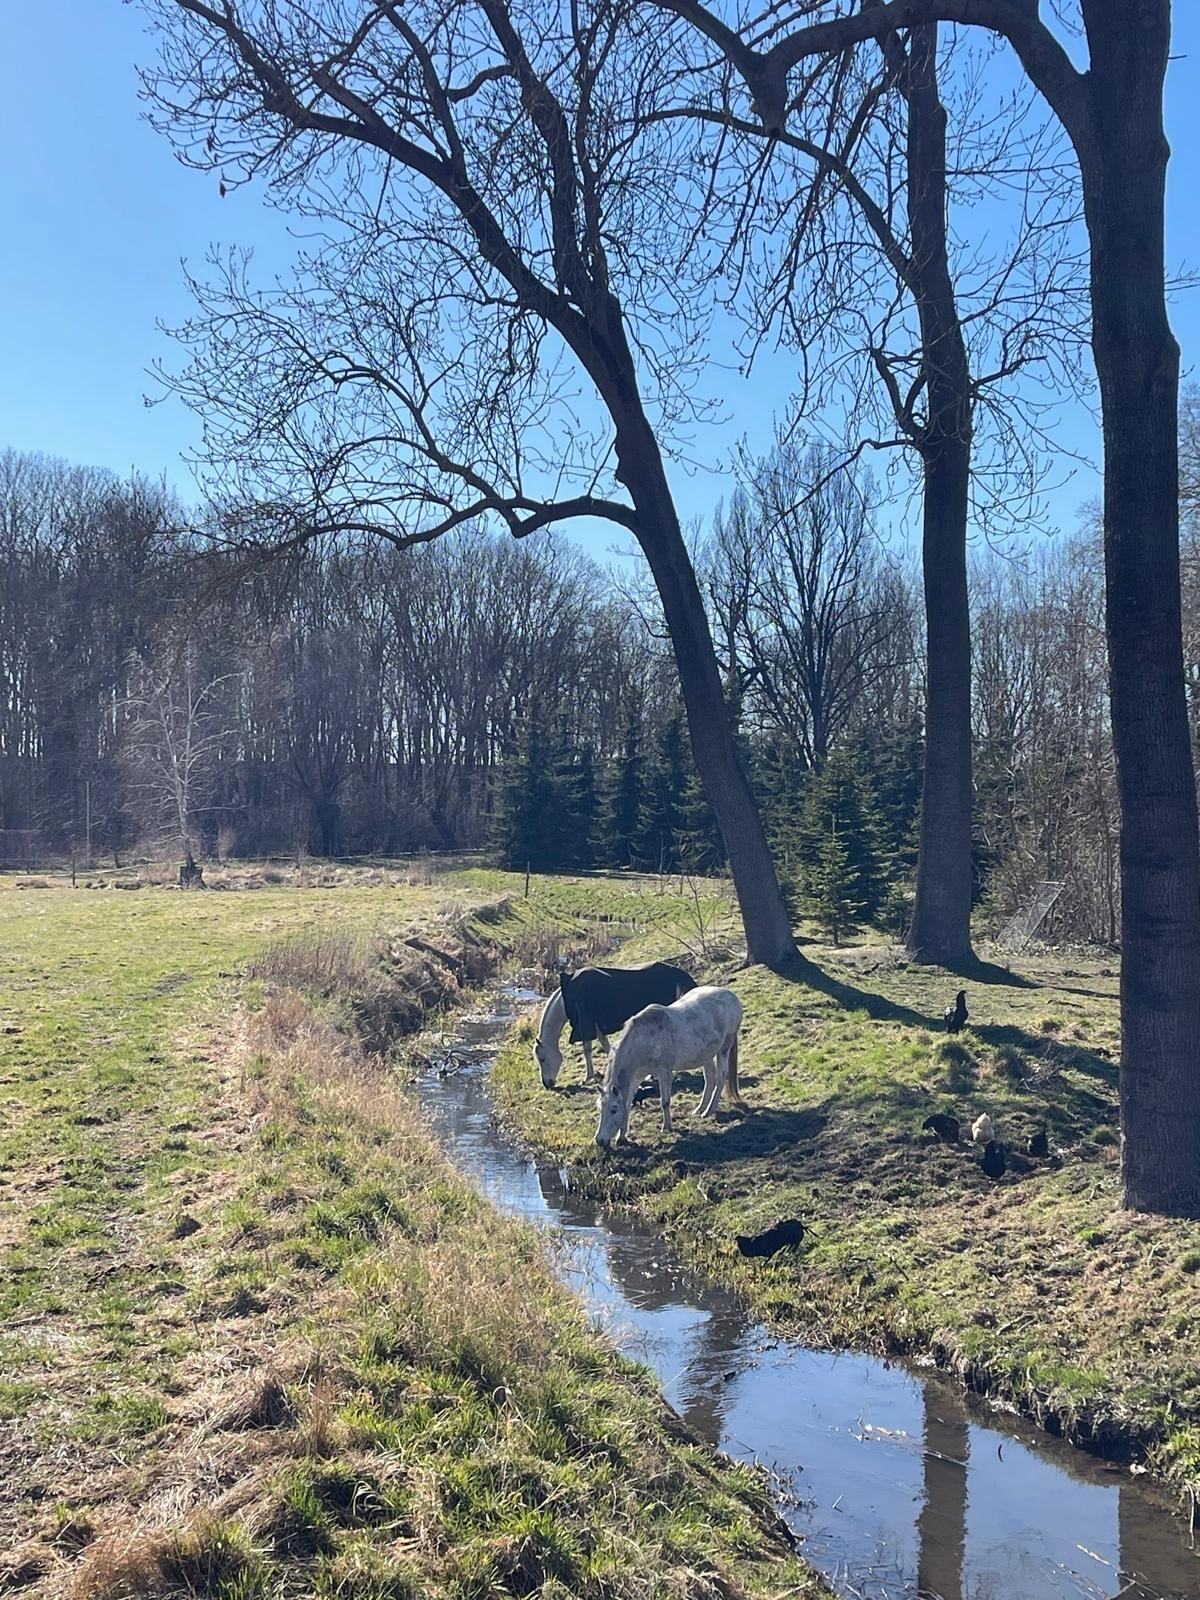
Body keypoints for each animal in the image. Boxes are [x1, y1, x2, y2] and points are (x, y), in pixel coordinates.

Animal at [533, 960, 695, 1088]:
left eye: (542, 1059)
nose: (547, 1084)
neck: (569, 995)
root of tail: (678, 973)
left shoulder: (586, 1022)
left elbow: (588, 1048)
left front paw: (588, 1077)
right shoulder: (596, 1025)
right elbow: (601, 1045)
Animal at [594, 985, 744, 1148]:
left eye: (614, 1110)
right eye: (600, 1108)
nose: (600, 1140)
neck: (643, 1040)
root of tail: (731, 996)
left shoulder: (664, 1072)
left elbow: (665, 1102)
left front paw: (667, 1127)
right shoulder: (637, 1077)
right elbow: (627, 1104)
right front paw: (621, 1137)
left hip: (724, 1049)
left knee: (721, 1077)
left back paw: (708, 1111)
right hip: (706, 1055)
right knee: (710, 1079)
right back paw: (699, 1109)